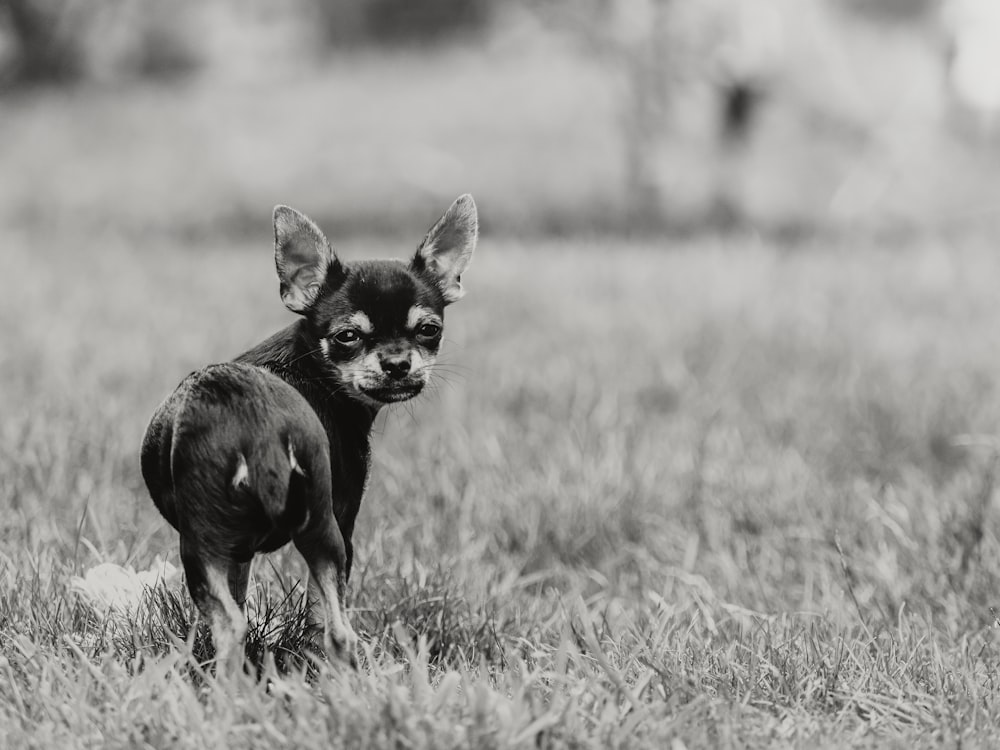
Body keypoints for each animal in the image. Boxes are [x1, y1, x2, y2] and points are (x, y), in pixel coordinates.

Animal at [142, 197, 480, 668]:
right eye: (347, 336)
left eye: (429, 330)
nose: (397, 364)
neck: (312, 365)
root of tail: (259, 431)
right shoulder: (337, 522)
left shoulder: (251, 547)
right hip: (319, 531)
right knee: (337, 633)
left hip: (204, 539)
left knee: (232, 625)